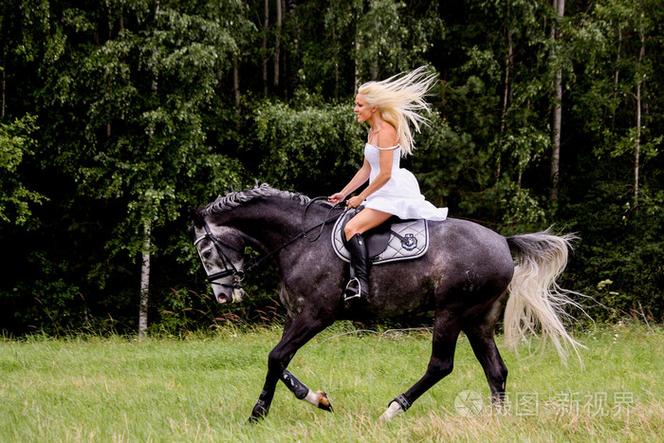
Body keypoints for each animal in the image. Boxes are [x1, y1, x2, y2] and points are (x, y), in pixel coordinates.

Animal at [193, 184, 582, 422]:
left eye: (206, 251)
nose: (223, 296)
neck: (299, 239)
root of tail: (503, 241)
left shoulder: (316, 315)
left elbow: (275, 357)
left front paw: (258, 414)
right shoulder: (296, 315)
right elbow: (279, 360)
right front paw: (314, 399)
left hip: (451, 312)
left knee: (441, 365)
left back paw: (393, 409)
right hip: (478, 320)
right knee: (496, 370)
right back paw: (495, 420)